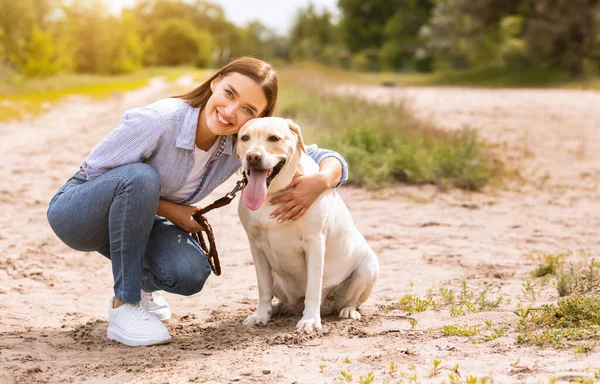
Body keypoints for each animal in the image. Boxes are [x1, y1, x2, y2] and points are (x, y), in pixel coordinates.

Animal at [237, 118, 378, 332]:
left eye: (274, 138)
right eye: (244, 138)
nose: (253, 156)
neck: (272, 193)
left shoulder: (314, 243)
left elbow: (313, 287)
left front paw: (310, 320)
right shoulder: (256, 246)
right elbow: (263, 287)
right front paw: (261, 315)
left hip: (368, 267)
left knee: (350, 300)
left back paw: (347, 311)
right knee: (279, 297)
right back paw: (277, 309)